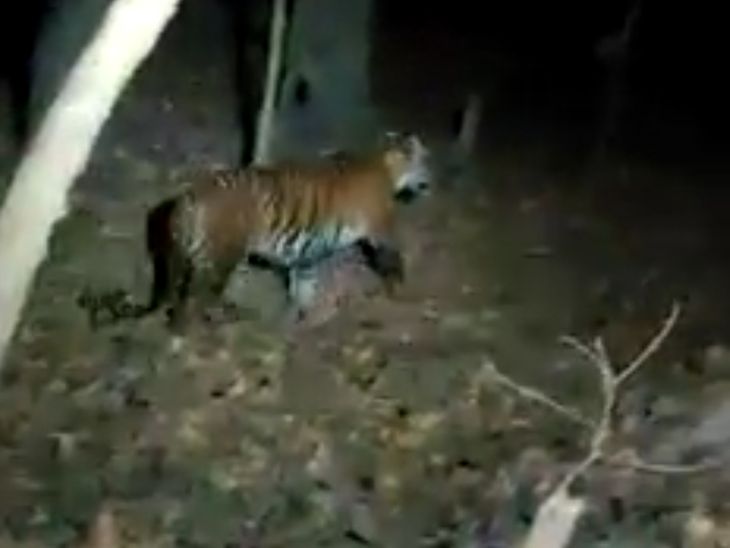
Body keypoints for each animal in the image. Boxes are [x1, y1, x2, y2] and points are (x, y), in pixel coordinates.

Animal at [80, 131, 433, 331]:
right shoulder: (381, 231)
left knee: (180, 302)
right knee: (199, 299)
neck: (386, 165)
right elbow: (394, 262)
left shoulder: (306, 255)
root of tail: (188, 197)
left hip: (189, 258)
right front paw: (402, 292)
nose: (431, 179)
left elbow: (303, 288)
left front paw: (292, 324)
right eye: (425, 159)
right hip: (221, 257)